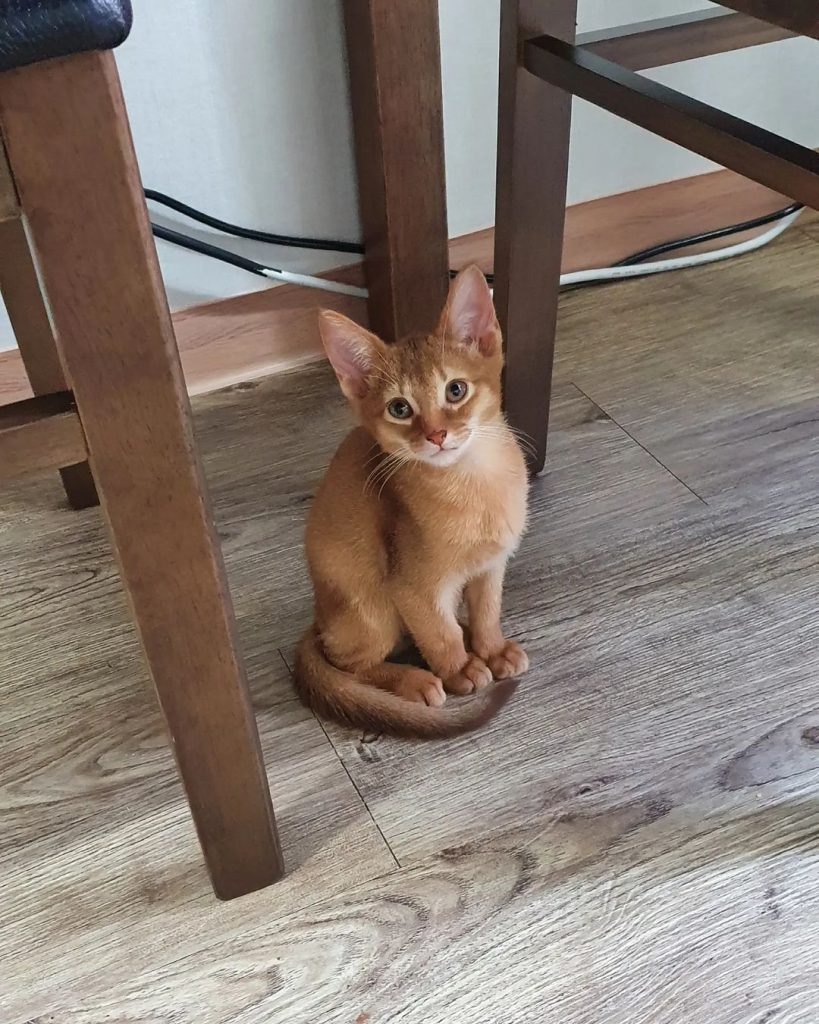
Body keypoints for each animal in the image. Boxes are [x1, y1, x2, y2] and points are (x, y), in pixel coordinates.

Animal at [296, 264, 532, 737]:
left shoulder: (491, 566)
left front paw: (491, 650)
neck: (474, 484)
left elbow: (487, 612)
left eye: (455, 390)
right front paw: (460, 669)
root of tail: (318, 620)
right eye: (400, 409)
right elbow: (438, 634)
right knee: (349, 664)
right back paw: (413, 679)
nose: (437, 435)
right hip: (370, 608)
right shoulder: (412, 588)